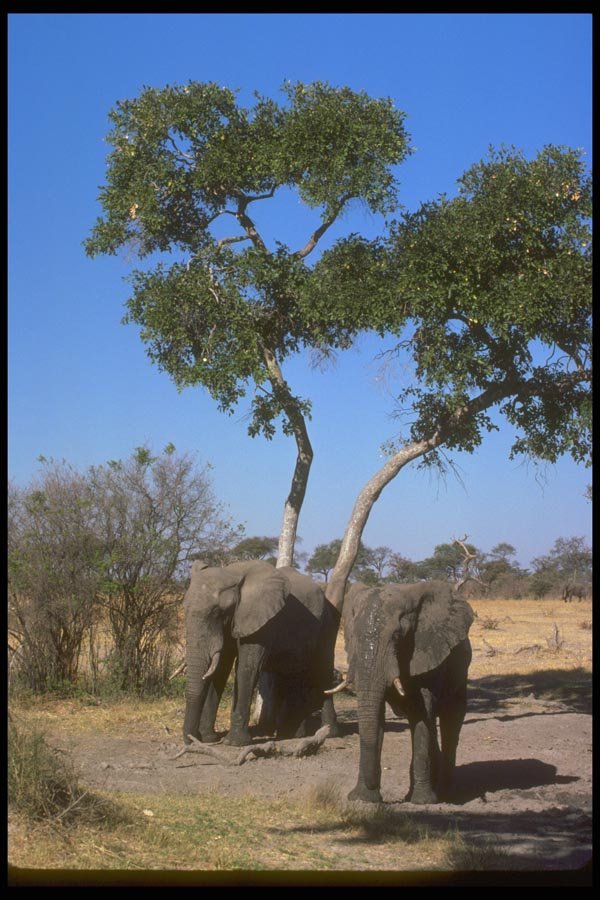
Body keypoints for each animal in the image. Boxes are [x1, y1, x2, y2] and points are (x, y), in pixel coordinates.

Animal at [182, 559, 339, 747]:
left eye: (217, 612)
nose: (193, 739)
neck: (231, 573)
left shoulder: (260, 622)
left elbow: (246, 668)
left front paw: (235, 743)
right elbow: (221, 669)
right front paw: (209, 739)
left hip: (328, 624)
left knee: (323, 669)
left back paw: (328, 733)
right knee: (291, 672)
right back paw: (290, 734)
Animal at [341, 580, 474, 804]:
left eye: (397, 636)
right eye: (352, 636)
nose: (379, 794)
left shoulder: (427, 653)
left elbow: (421, 715)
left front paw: (423, 801)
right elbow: (377, 717)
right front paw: (362, 799)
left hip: (460, 673)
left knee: (451, 721)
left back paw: (446, 794)